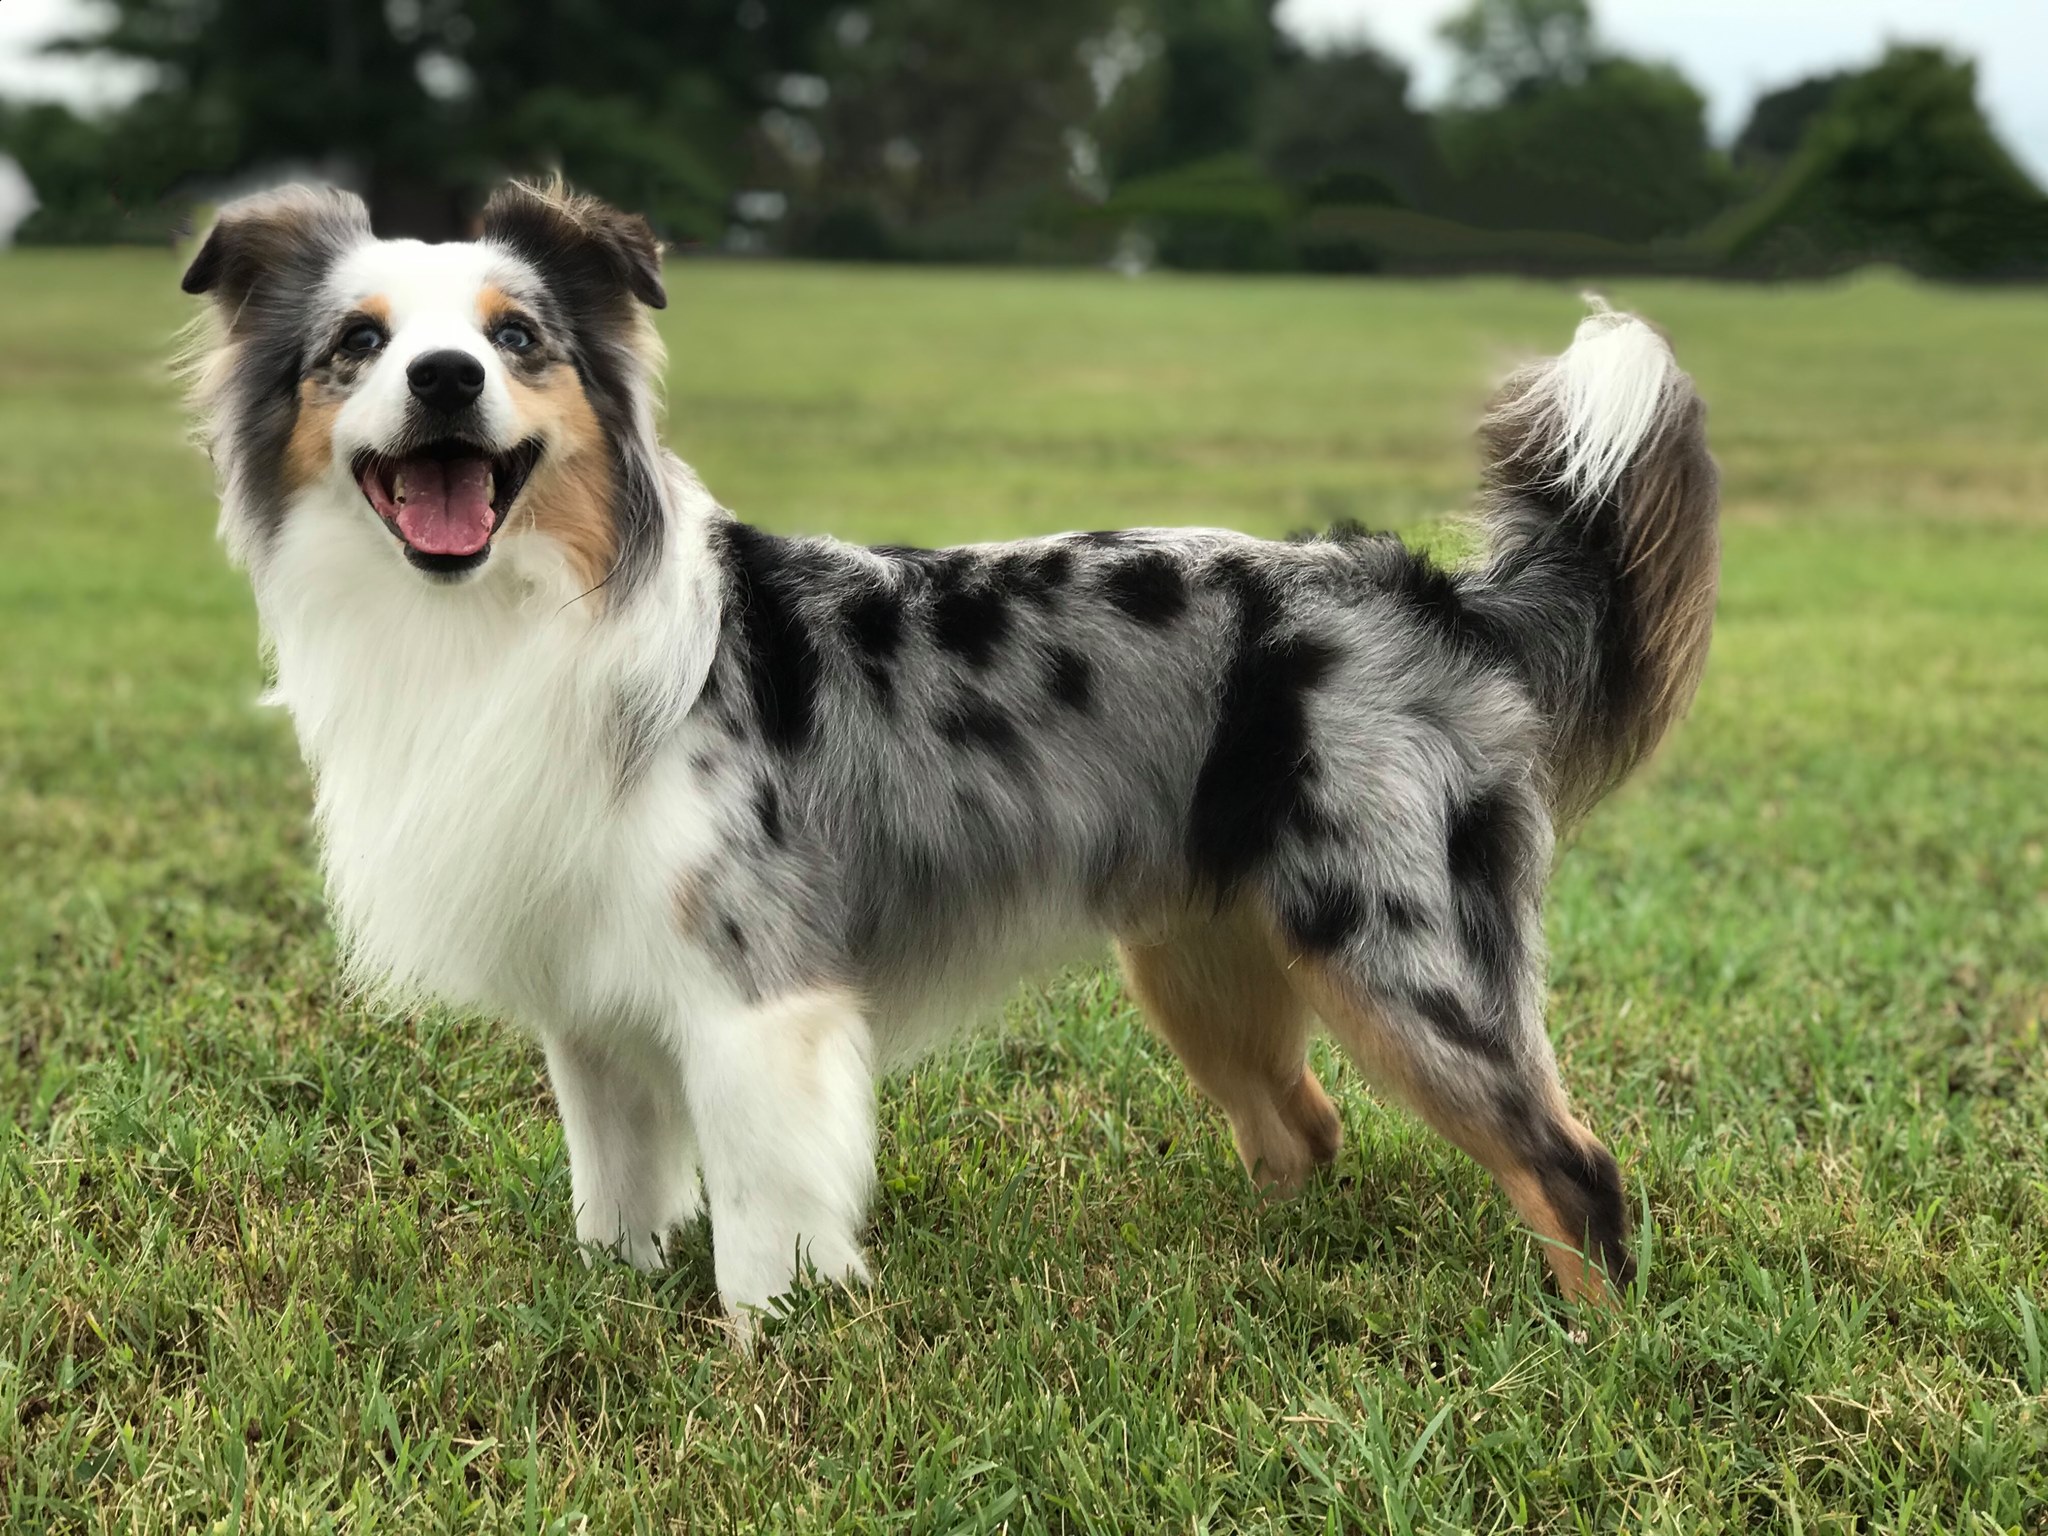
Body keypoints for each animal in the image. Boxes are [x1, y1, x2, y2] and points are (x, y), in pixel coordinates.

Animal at [180, 180, 1712, 1327]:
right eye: (359, 343)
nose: (445, 380)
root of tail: (1427, 595)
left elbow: (763, 1228)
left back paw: (1593, 1341)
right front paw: (614, 1300)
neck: (515, 613)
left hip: (1398, 948)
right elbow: (613, 1195)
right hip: (1203, 957)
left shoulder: (757, 989)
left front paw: (764, 1361)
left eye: (517, 338)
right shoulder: (592, 998)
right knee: (1303, 1130)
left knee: (1573, 1170)